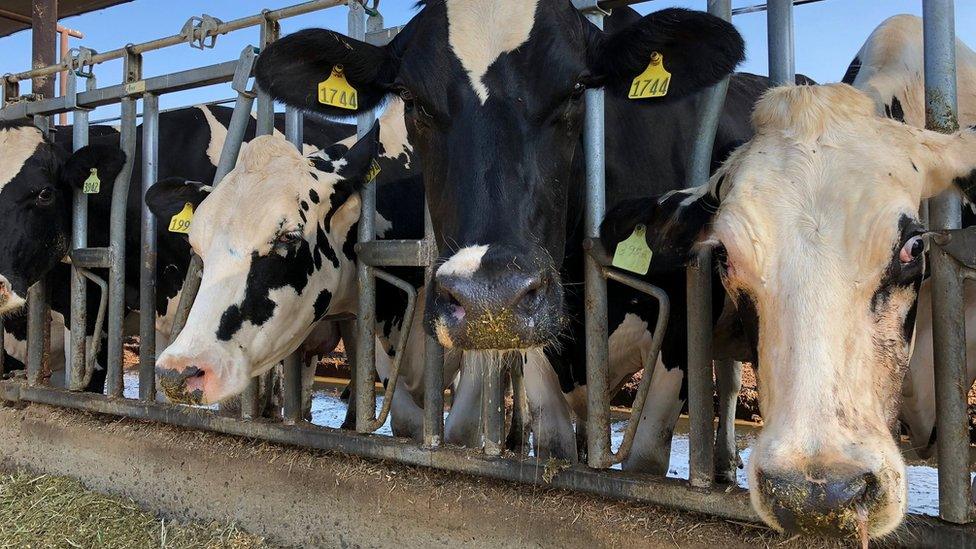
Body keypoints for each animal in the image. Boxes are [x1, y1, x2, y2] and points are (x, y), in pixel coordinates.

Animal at [255, 2, 744, 460]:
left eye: (577, 89)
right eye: (410, 98)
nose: (490, 301)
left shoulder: (682, 336)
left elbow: (644, 453)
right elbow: (553, 444)